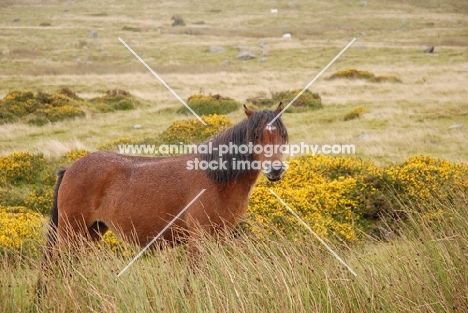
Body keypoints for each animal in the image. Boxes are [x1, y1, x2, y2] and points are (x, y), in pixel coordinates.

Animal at [45, 103, 288, 260]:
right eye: (255, 135)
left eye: (283, 136)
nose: (275, 169)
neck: (217, 180)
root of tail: (70, 168)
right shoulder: (198, 239)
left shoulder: (219, 238)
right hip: (71, 233)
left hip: (91, 233)